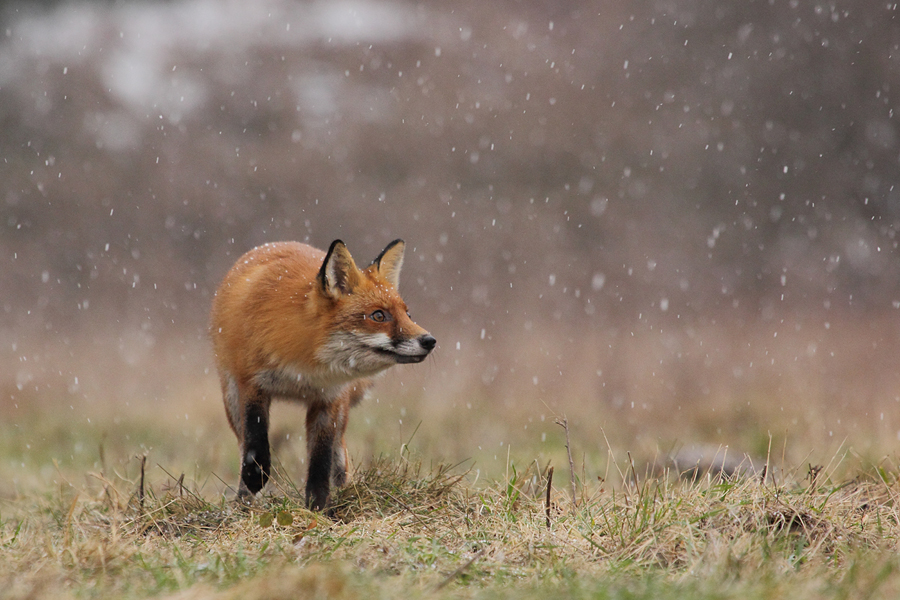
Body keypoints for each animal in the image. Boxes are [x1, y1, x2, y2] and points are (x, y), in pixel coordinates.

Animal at [211, 239, 436, 510]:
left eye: (407, 314)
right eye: (379, 315)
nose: (429, 341)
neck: (305, 367)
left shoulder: (329, 398)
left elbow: (320, 459)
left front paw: (318, 507)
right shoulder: (251, 385)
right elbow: (256, 442)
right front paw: (255, 477)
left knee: (339, 450)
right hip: (231, 399)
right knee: (243, 442)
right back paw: (243, 499)